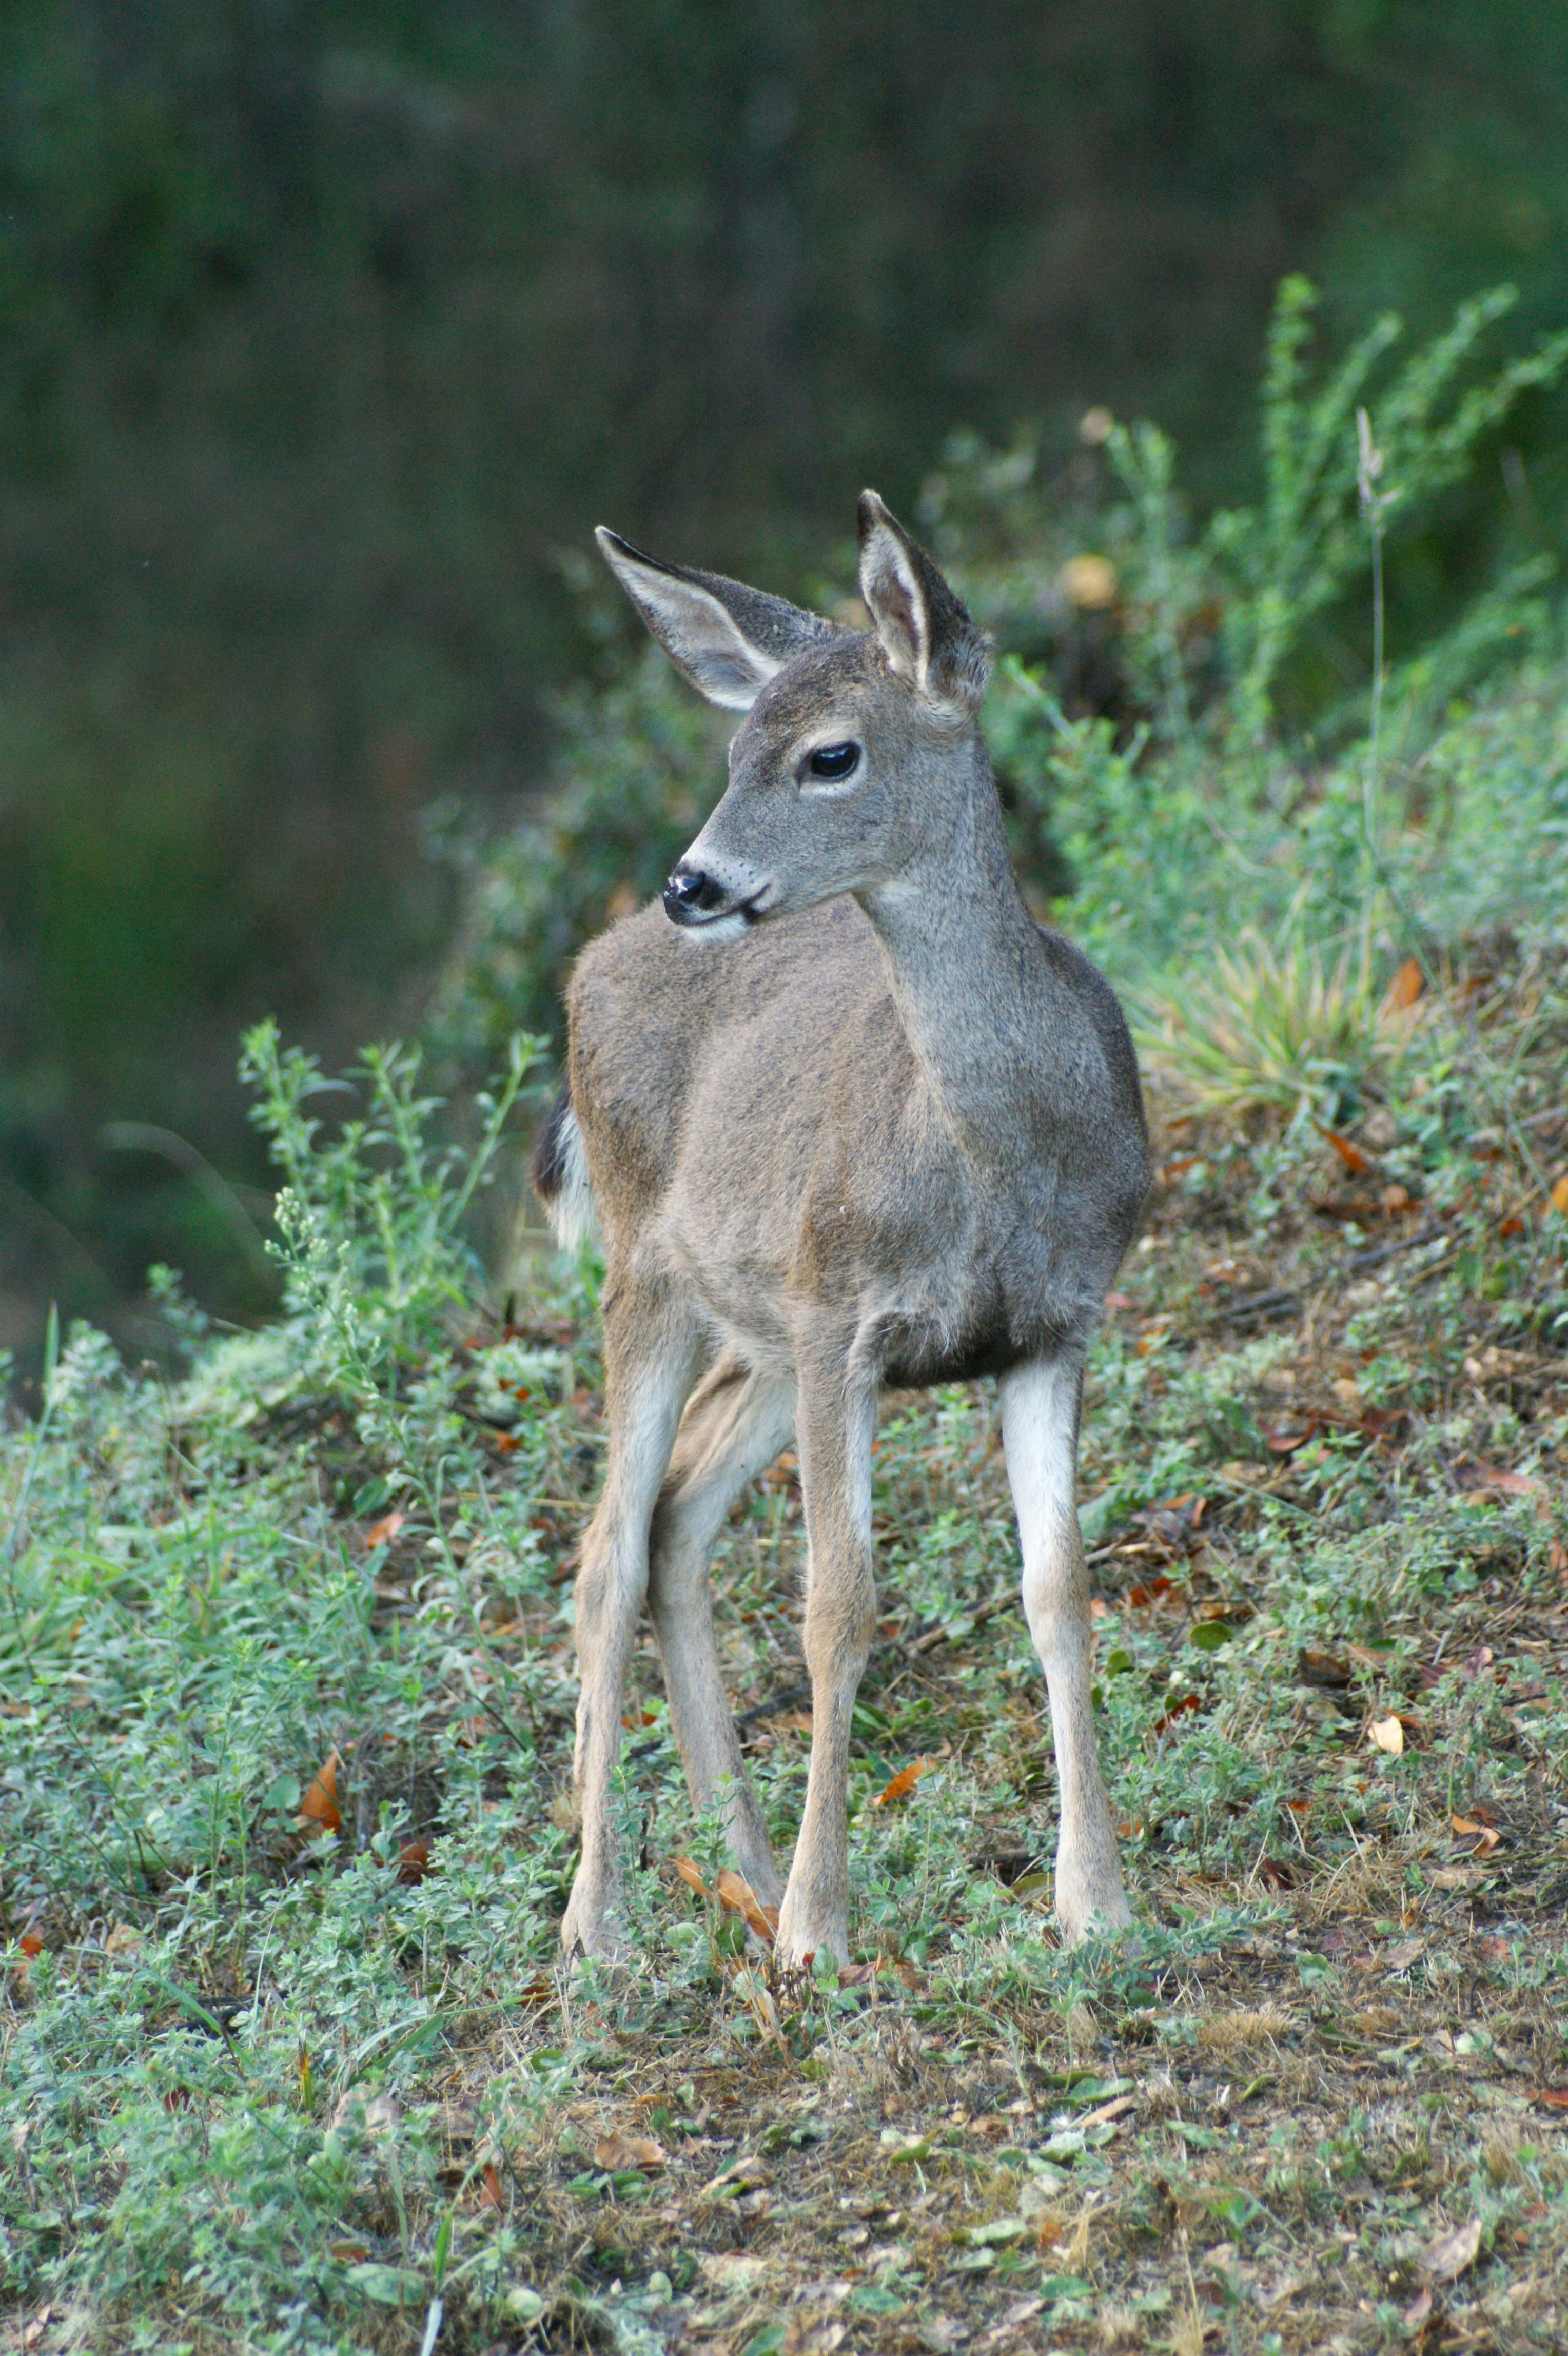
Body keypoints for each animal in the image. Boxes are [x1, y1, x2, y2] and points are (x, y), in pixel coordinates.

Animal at [531, 491, 1150, 1970]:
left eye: (829, 755)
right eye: (730, 747)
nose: (695, 883)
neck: (999, 1167)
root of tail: (586, 965)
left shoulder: (1051, 1326)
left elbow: (1060, 1590)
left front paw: (1096, 1904)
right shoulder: (841, 1319)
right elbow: (837, 1606)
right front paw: (822, 1931)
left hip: (752, 1324)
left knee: (672, 1521)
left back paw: (739, 1866)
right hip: (648, 1272)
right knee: (602, 1550)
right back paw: (603, 1923)